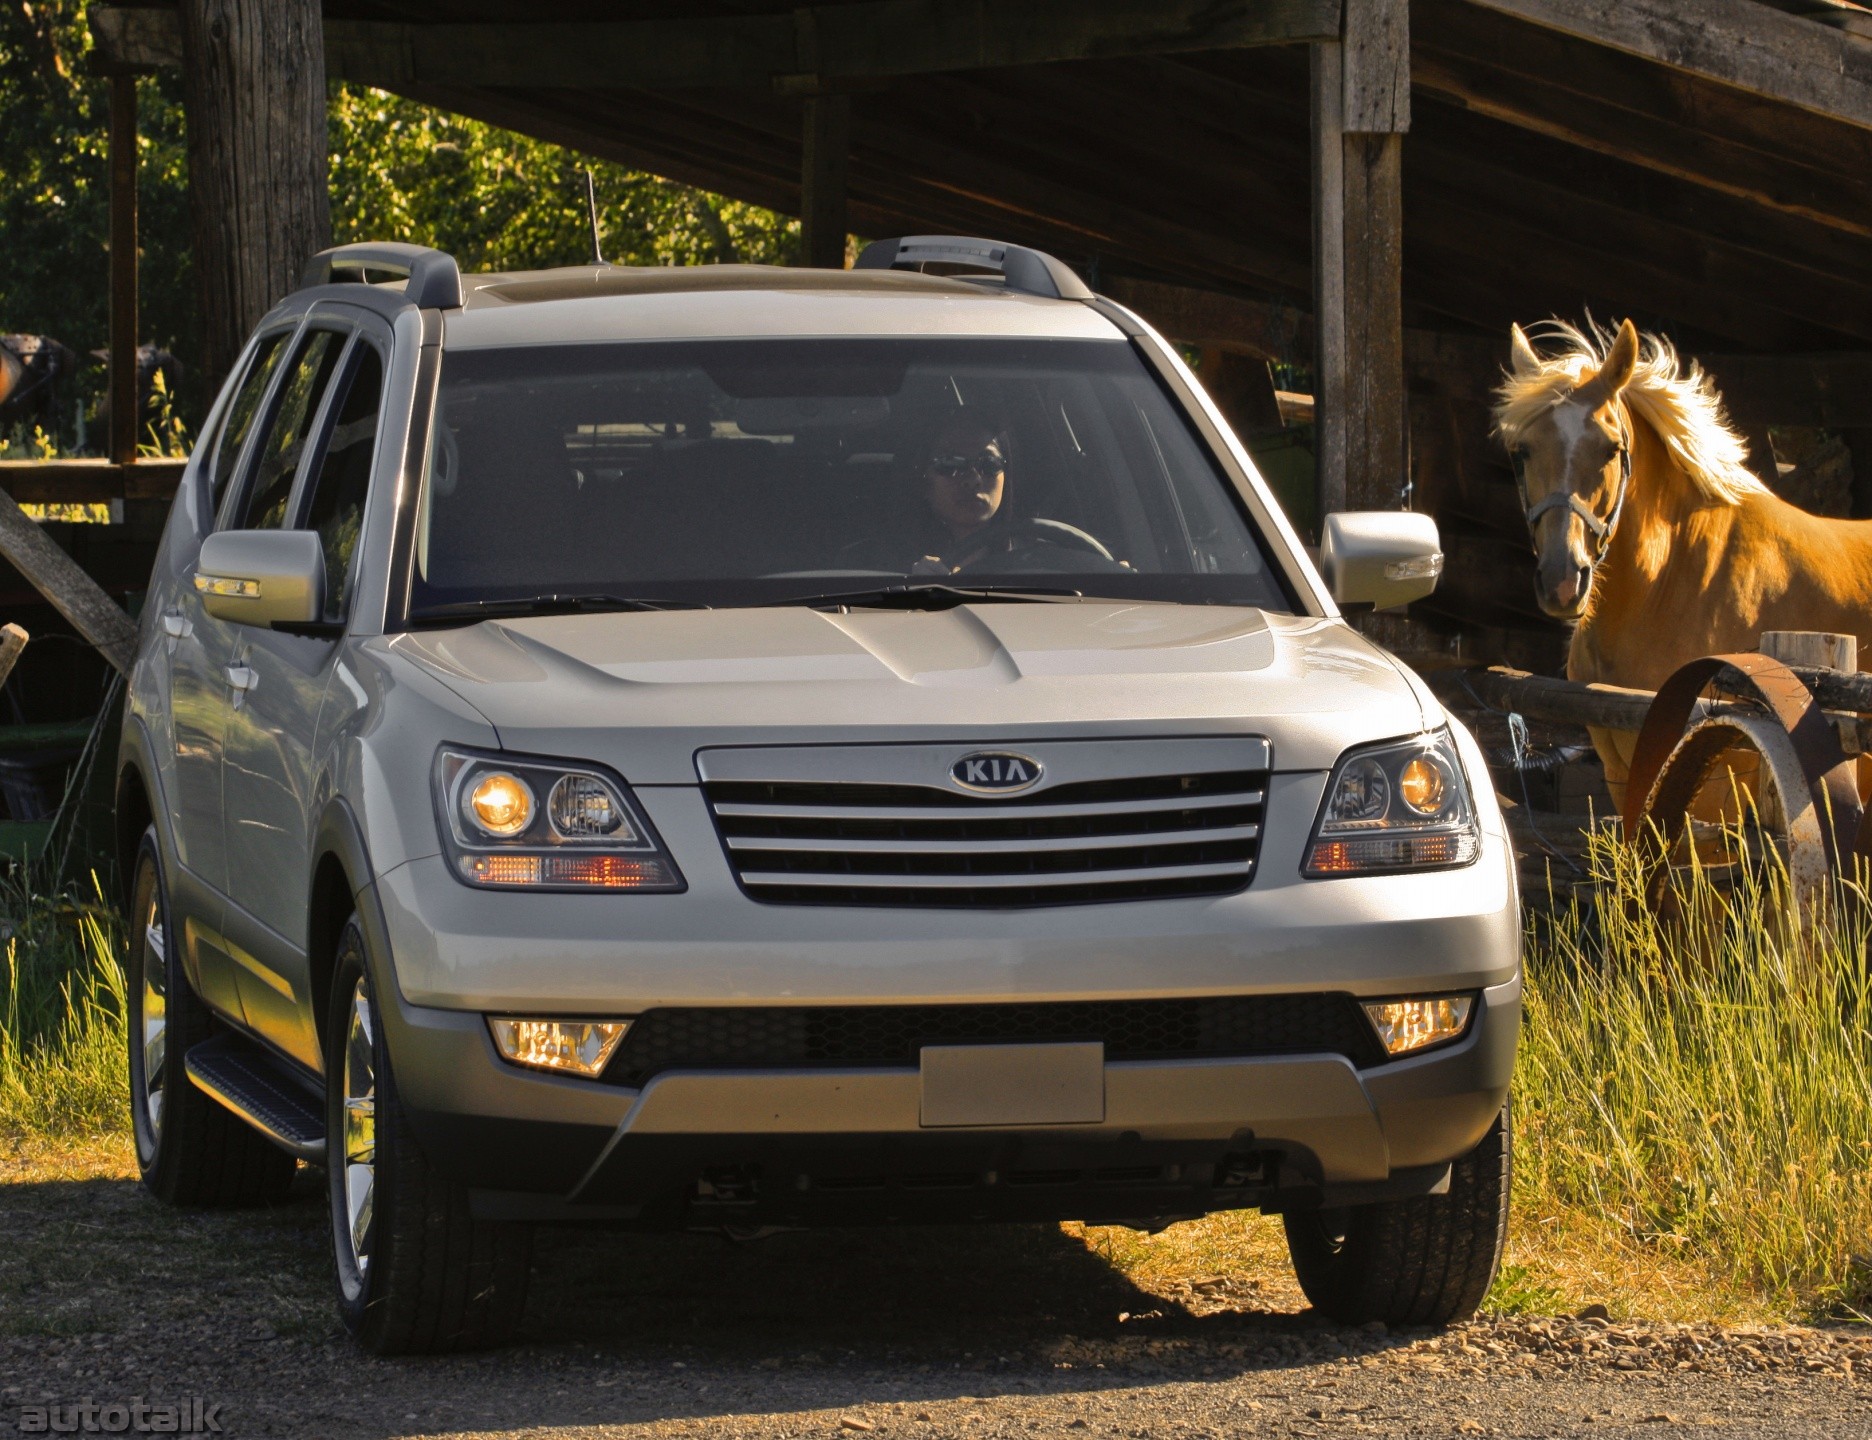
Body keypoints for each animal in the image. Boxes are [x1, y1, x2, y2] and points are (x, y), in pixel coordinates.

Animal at [1497, 318, 1872, 808]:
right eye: (1522, 451)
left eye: (1611, 449)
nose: (1562, 582)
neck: (1675, 583)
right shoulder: (1622, 774)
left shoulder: (1716, 783)